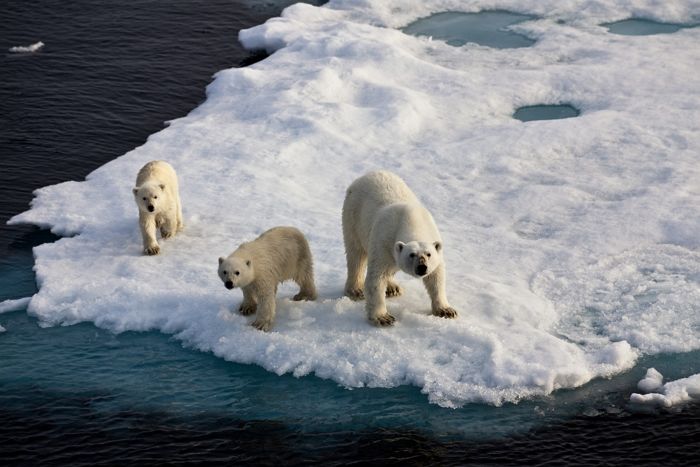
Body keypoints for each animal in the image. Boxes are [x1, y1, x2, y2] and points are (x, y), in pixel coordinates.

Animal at [344, 170, 460, 328]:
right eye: (411, 254)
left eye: (428, 254)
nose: (422, 267)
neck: (411, 220)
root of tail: (367, 174)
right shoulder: (383, 241)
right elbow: (376, 278)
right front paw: (383, 318)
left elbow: (436, 277)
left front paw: (446, 310)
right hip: (353, 217)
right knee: (356, 255)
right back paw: (355, 289)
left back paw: (393, 288)